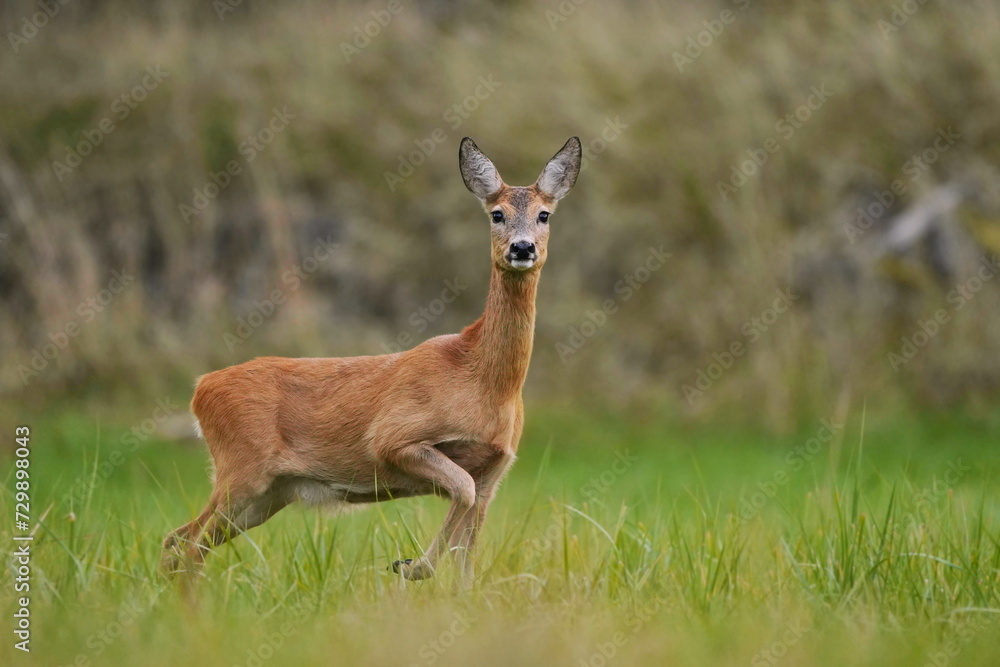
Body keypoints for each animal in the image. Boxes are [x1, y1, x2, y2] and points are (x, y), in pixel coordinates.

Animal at [162, 137, 584, 584]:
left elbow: (467, 558)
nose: (522, 247)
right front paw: (411, 566)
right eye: (496, 214)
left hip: (267, 494)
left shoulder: (494, 471)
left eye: (544, 214)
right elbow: (461, 491)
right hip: (242, 471)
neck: (483, 379)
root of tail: (201, 388)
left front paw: (431, 576)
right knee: (185, 544)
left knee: (178, 540)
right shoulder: (394, 436)